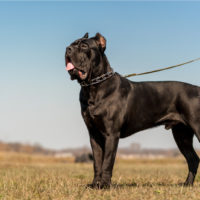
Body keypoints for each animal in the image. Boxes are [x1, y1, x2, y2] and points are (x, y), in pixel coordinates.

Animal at [65, 32, 200, 188]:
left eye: (84, 46)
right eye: (72, 44)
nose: (67, 49)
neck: (93, 86)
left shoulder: (111, 134)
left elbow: (107, 162)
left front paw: (104, 185)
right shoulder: (94, 134)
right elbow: (97, 162)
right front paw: (95, 185)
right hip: (181, 135)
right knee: (193, 159)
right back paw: (187, 184)